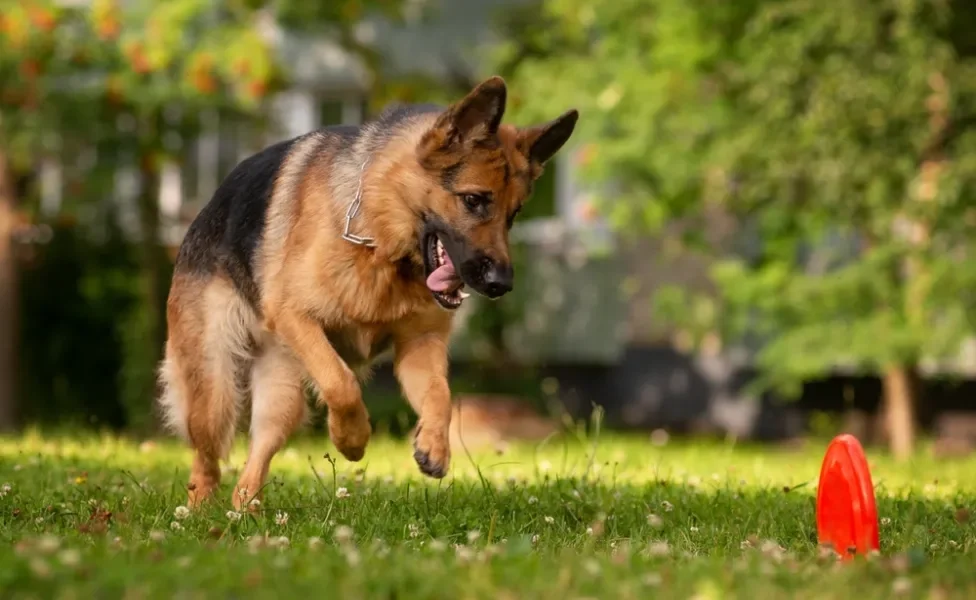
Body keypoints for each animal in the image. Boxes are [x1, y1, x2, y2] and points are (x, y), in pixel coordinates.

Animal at [156, 74, 576, 506]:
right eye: (474, 200)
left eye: (514, 214)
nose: (501, 285)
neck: (379, 234)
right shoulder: (297, 318)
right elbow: (341, 383)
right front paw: (352, 439)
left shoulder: (418, 347)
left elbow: (440, 394)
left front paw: (434, 446)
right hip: (215, 385)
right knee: (206, 455)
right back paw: (199, 509)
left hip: (281, 394)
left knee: (259, 451)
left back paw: (244, 509)